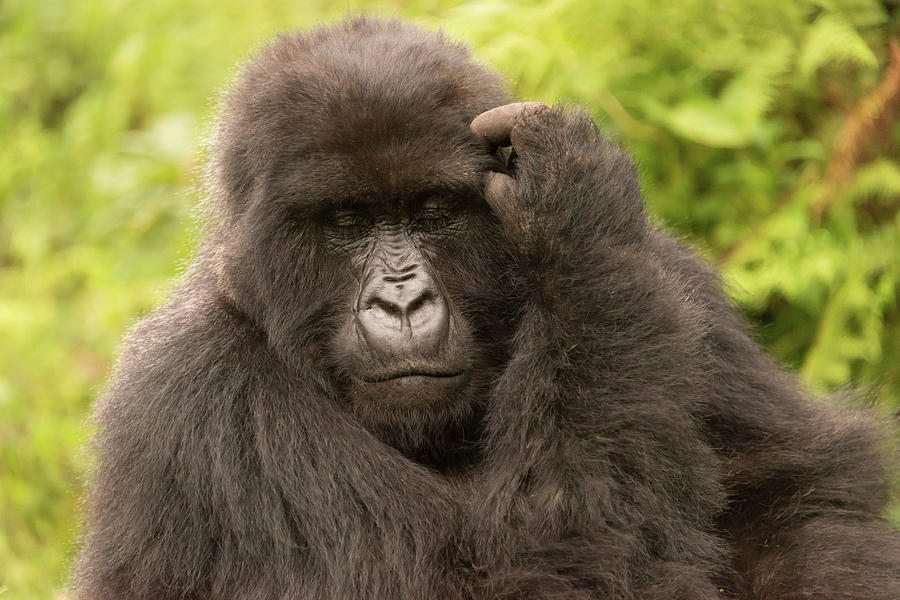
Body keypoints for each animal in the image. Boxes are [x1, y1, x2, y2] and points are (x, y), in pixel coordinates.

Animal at [72, 16, 900, 596]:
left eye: (434, 211)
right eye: (348, 223)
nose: (401, 302)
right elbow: (532, 577)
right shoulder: (193, 399)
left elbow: (799, 503)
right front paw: (572, 224)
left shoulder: (670, 274)